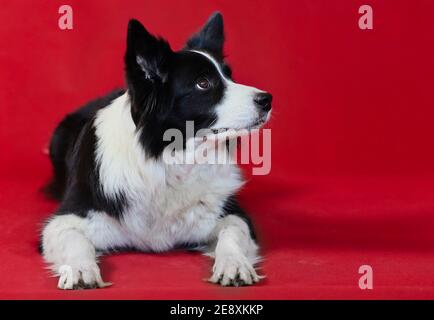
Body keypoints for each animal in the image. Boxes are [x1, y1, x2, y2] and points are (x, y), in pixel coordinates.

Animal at [40, 11, 272, 290]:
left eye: (230, 76)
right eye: (203, 83)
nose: (267, 99)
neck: (171, 158)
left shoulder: (232, 213)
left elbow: (232, 233)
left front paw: (235, 264)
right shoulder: (64, 220)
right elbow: (75, 240)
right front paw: (80, 269)